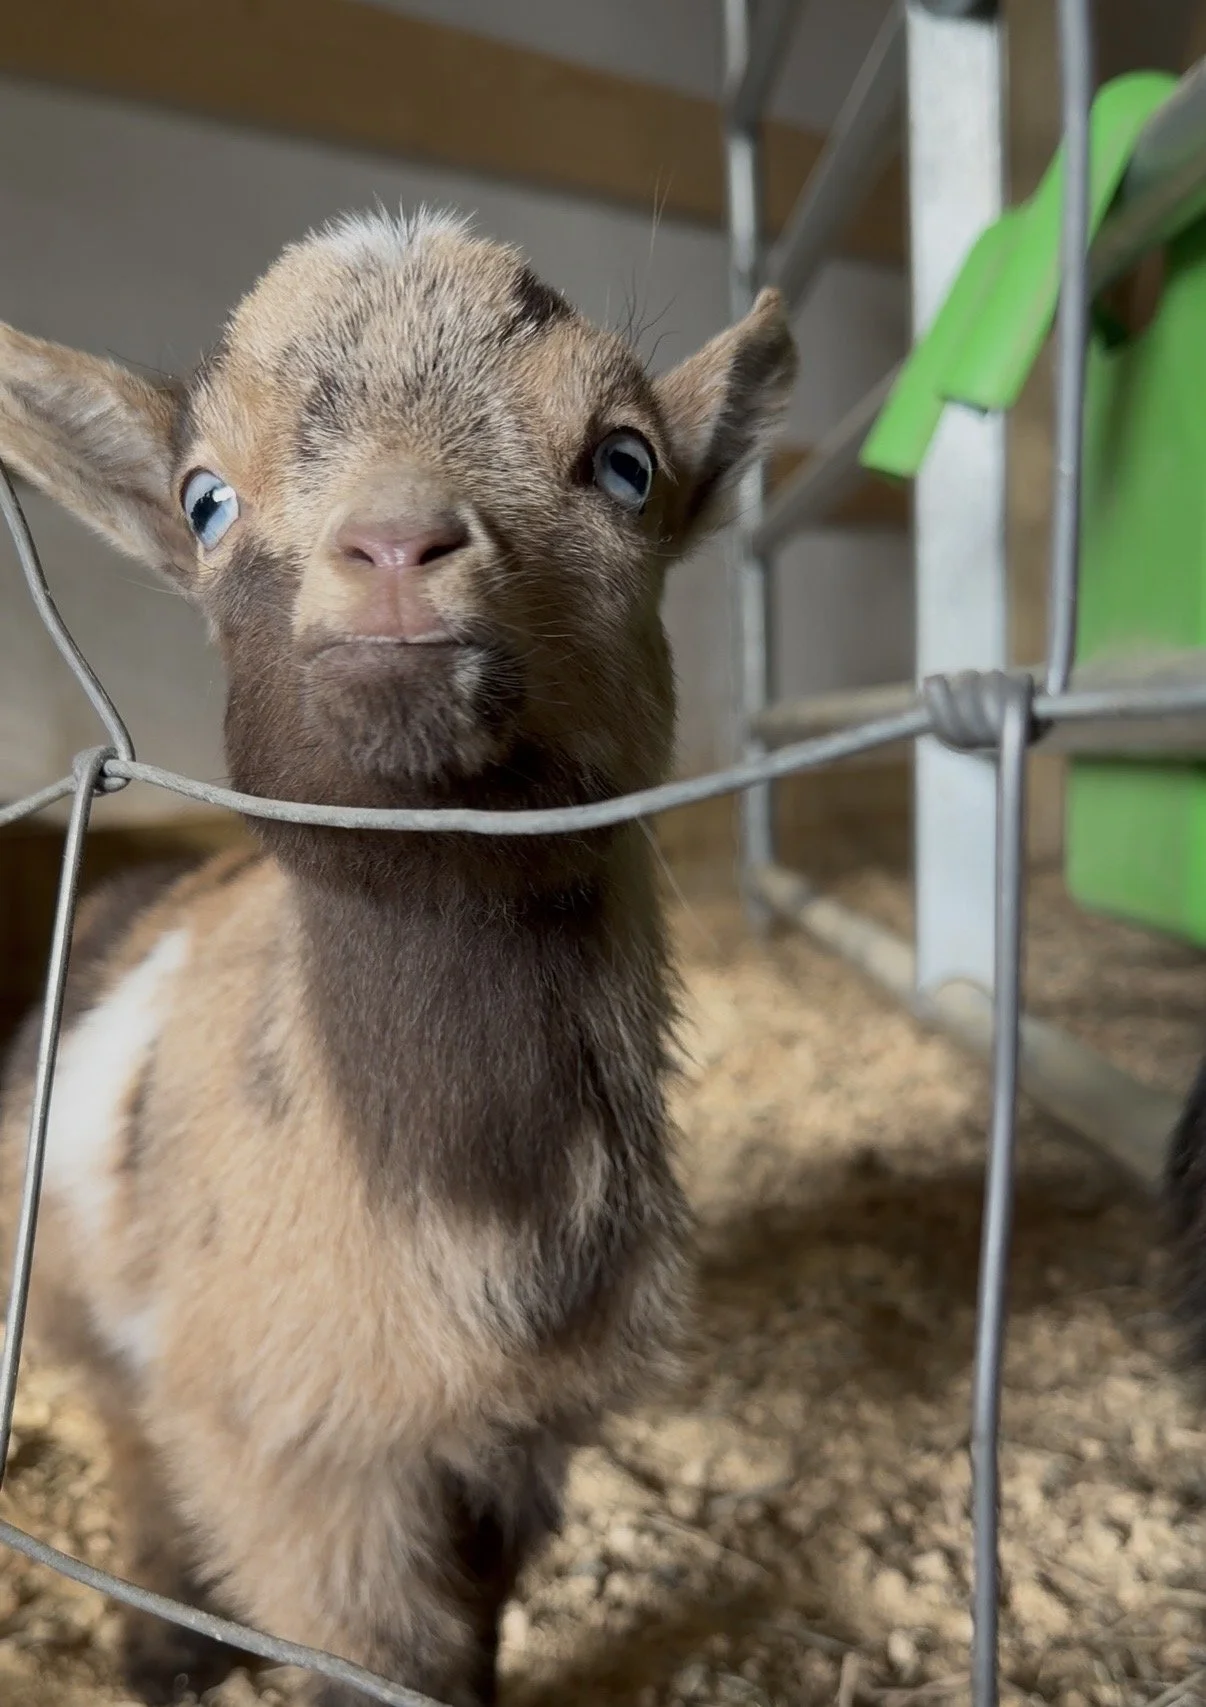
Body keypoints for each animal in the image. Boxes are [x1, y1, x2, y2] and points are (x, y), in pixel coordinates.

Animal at [0, 209, 795, 1706]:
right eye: (204, 497)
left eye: (626, 460)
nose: (394, 543)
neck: (468, 1222)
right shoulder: (290, 1447)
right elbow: (383, 1653)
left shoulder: (517, 1430)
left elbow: (465, 1633)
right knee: (131, 1436)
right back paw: (158, 1640)